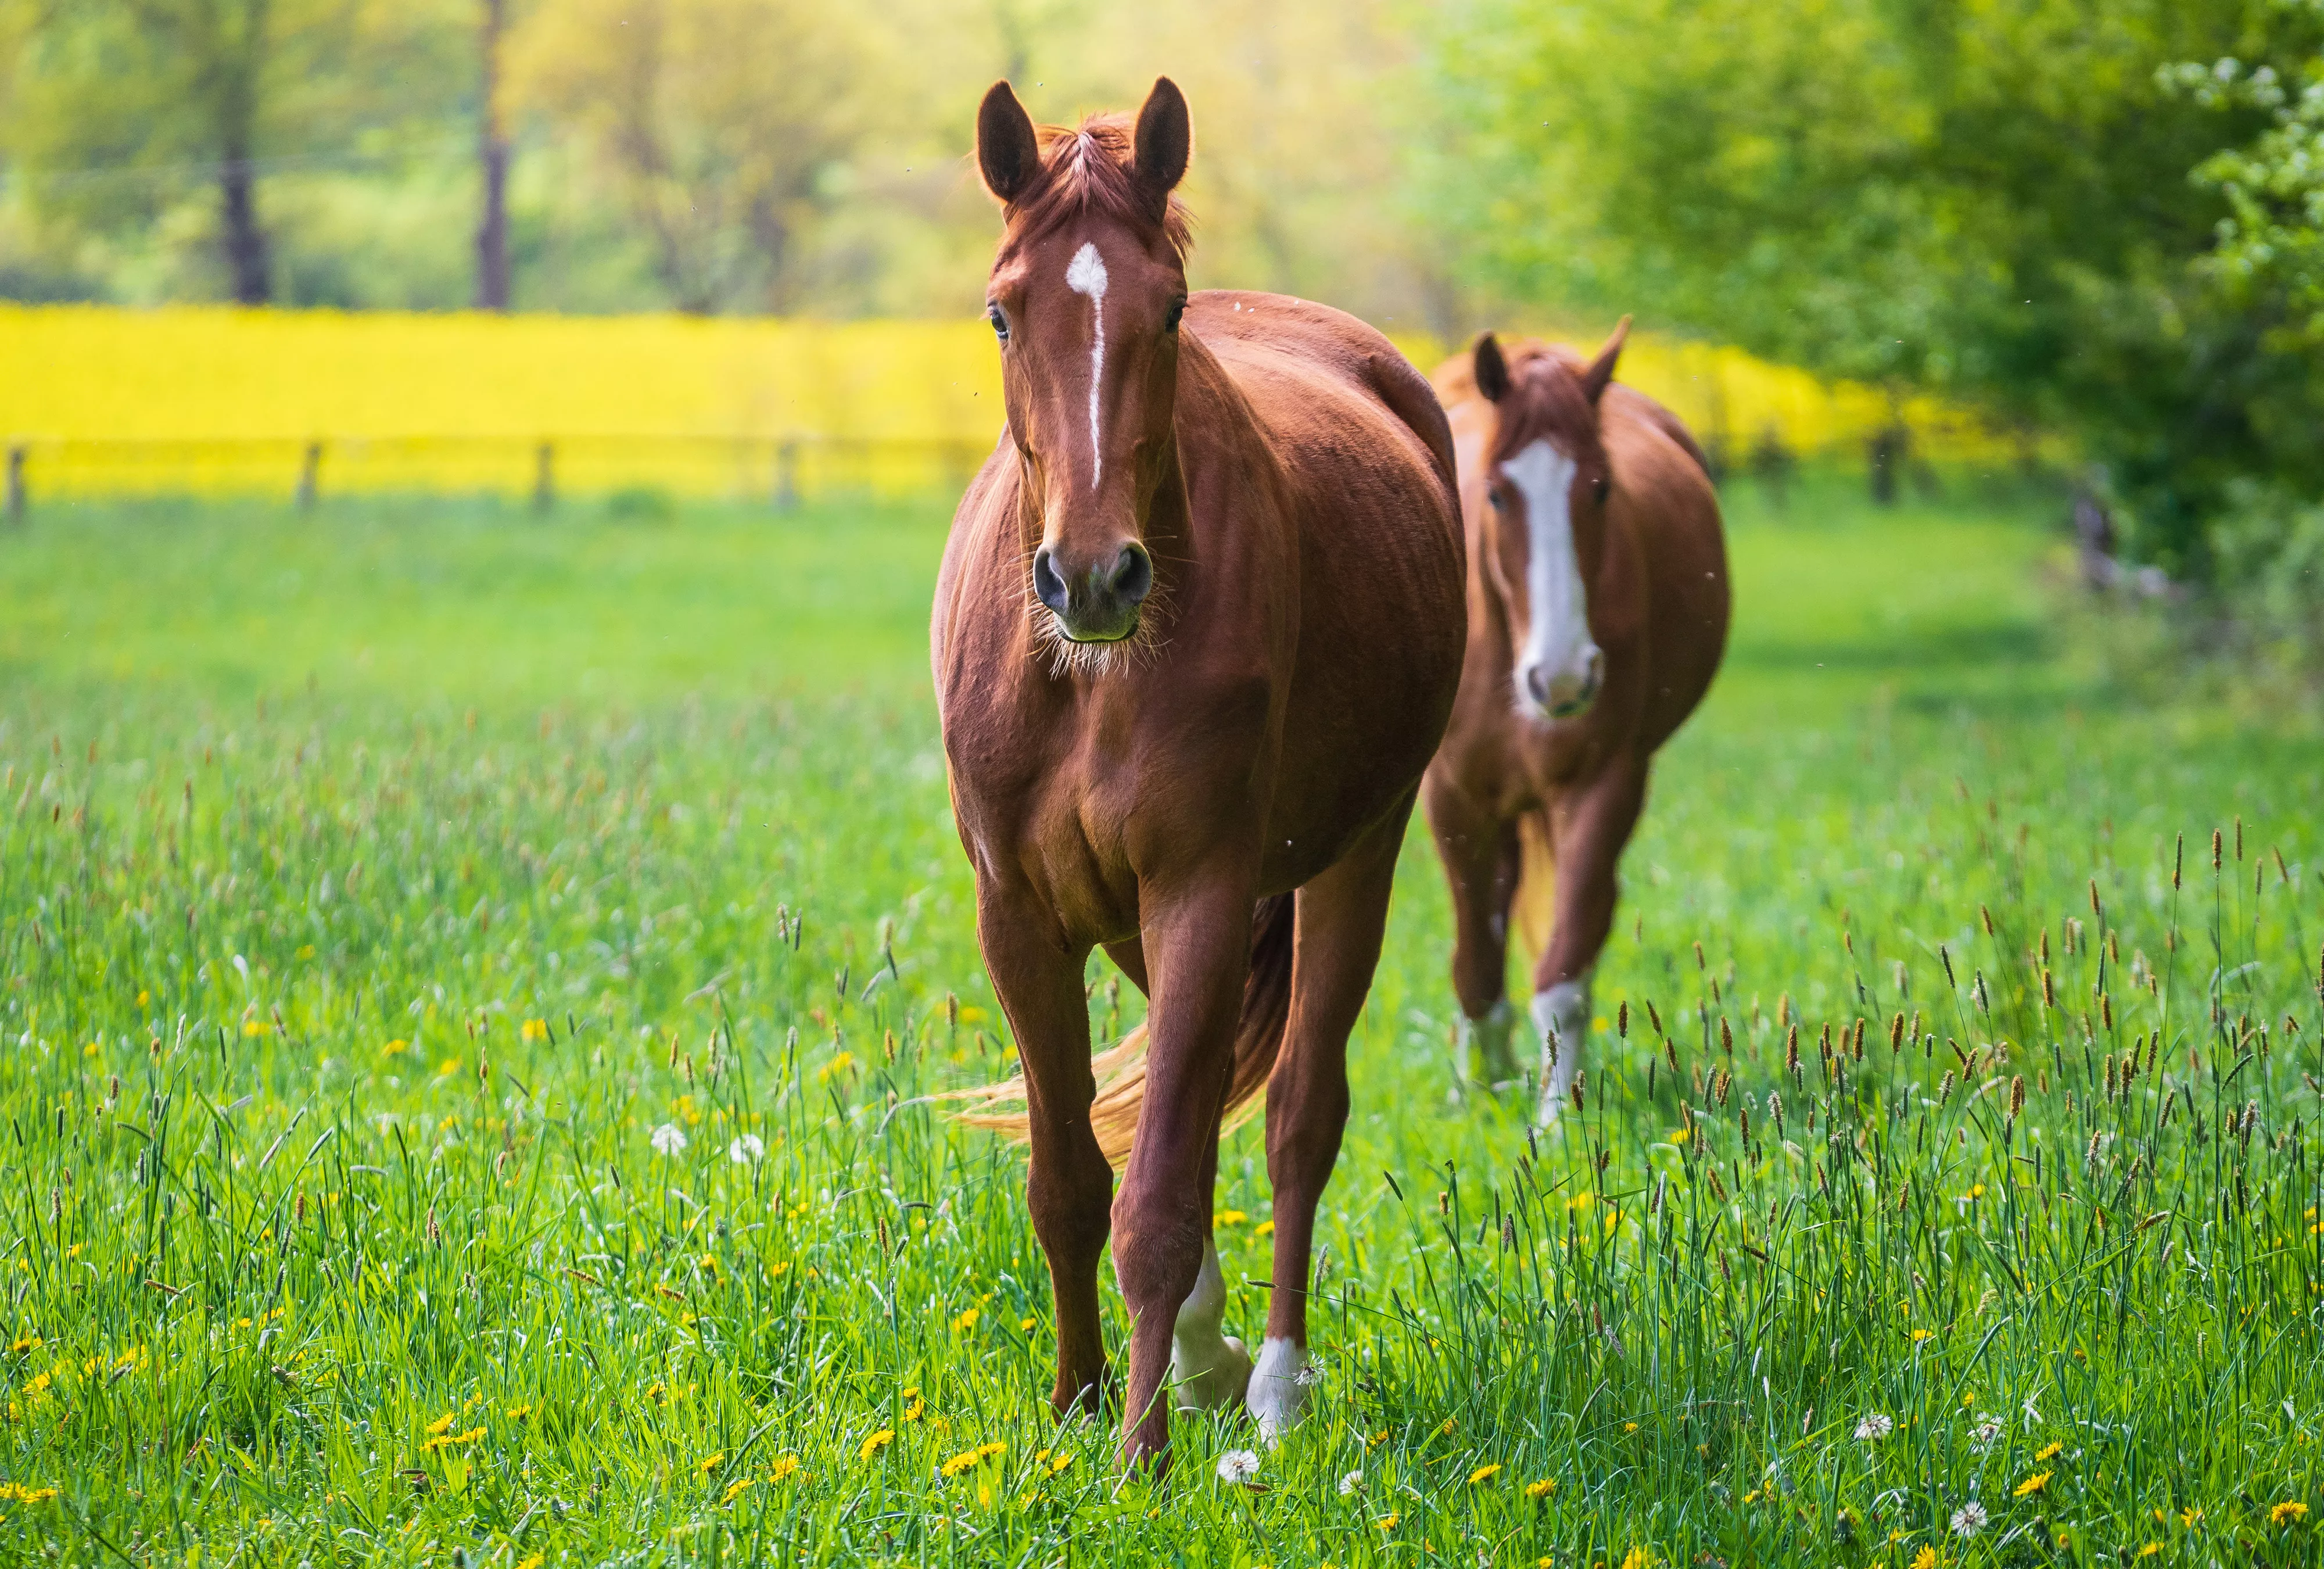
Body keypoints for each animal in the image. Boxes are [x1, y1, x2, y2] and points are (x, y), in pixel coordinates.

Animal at [933, 78, 1466, 1466]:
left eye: (1165, 309)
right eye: (1003, 310)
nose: (1092, 578)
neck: (1086, 679)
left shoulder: (1201, 897)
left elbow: (1164, 1196)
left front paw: (1138, 1458)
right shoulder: (1021, 917)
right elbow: (1070, 1181)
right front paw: (1075, 1407)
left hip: (1356, 857)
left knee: (1296, 1116)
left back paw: (1269, 1384)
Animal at [1420, 326, 1729, 1127]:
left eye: (1599, 488)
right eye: (1497, 493)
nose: (1561, 677)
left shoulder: (1601, 784)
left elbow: (1564, 968)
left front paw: (1557, 1118)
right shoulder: (1453, 798)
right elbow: (1474, 966)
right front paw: (1478, 1095)